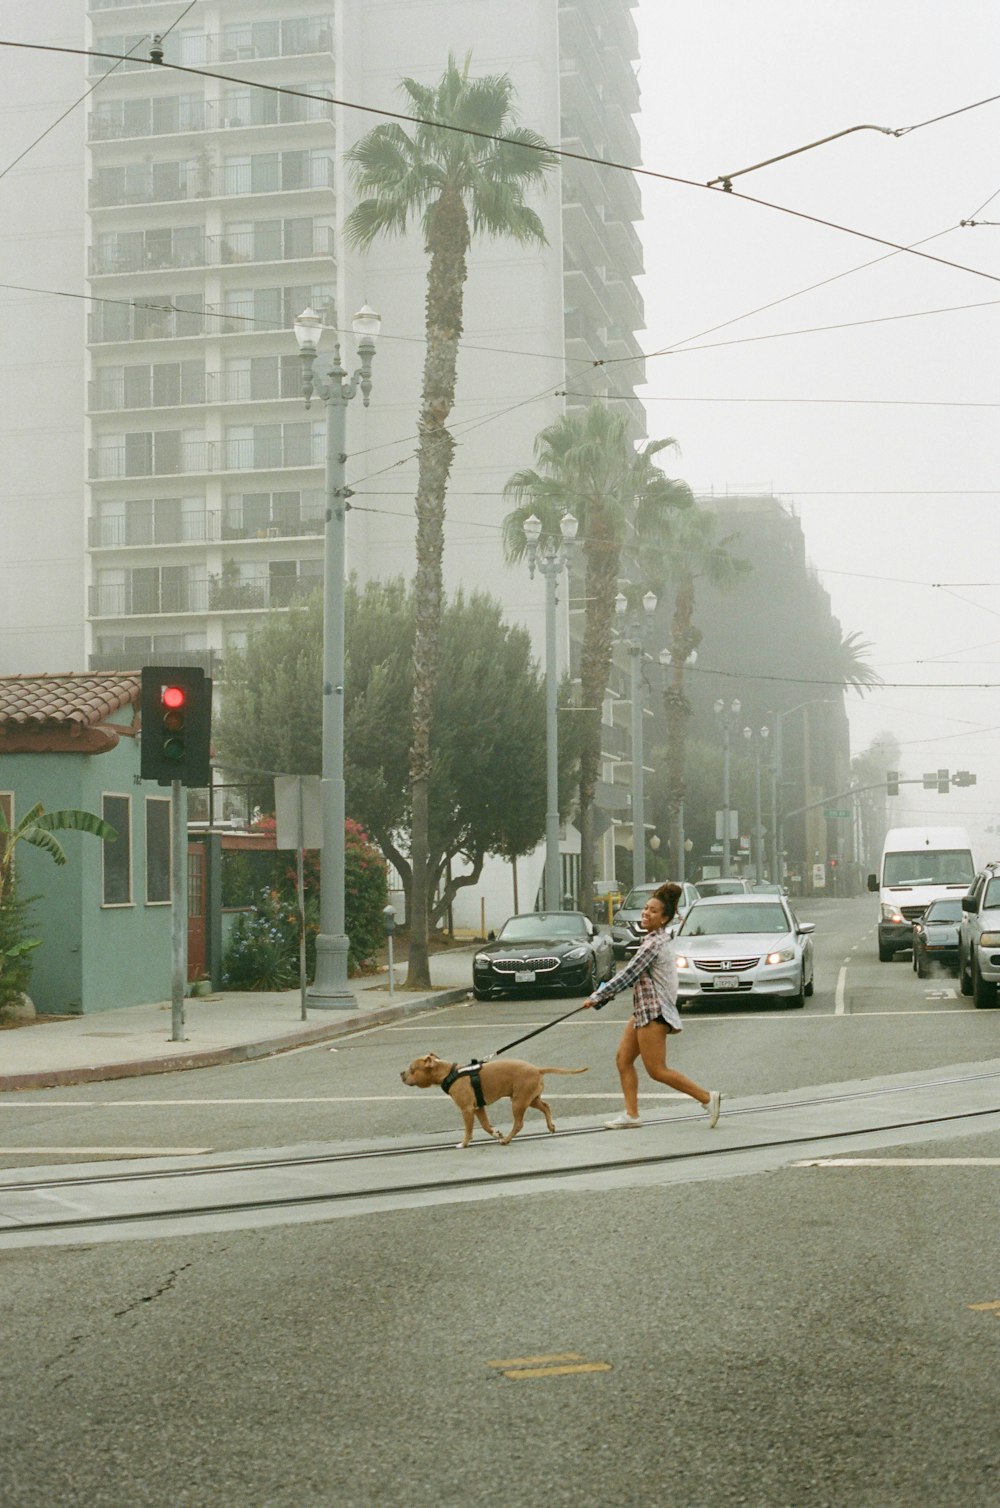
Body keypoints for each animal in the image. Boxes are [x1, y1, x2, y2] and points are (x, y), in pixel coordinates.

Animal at [398, 1055, 588, 1146]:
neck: (450, 1073)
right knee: (546, 1106)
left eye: (412, 1069)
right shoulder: (478, 1108)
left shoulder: (467, 1110)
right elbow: (485, 1125)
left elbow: (468, 1130)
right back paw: (550, 1126)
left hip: (518, 1102)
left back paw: (507, 1140)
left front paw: (464, 1144)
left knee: (519, 1123)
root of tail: (537, 1069)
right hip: (530, 1099)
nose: (401, 1073)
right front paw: (496, 1133)